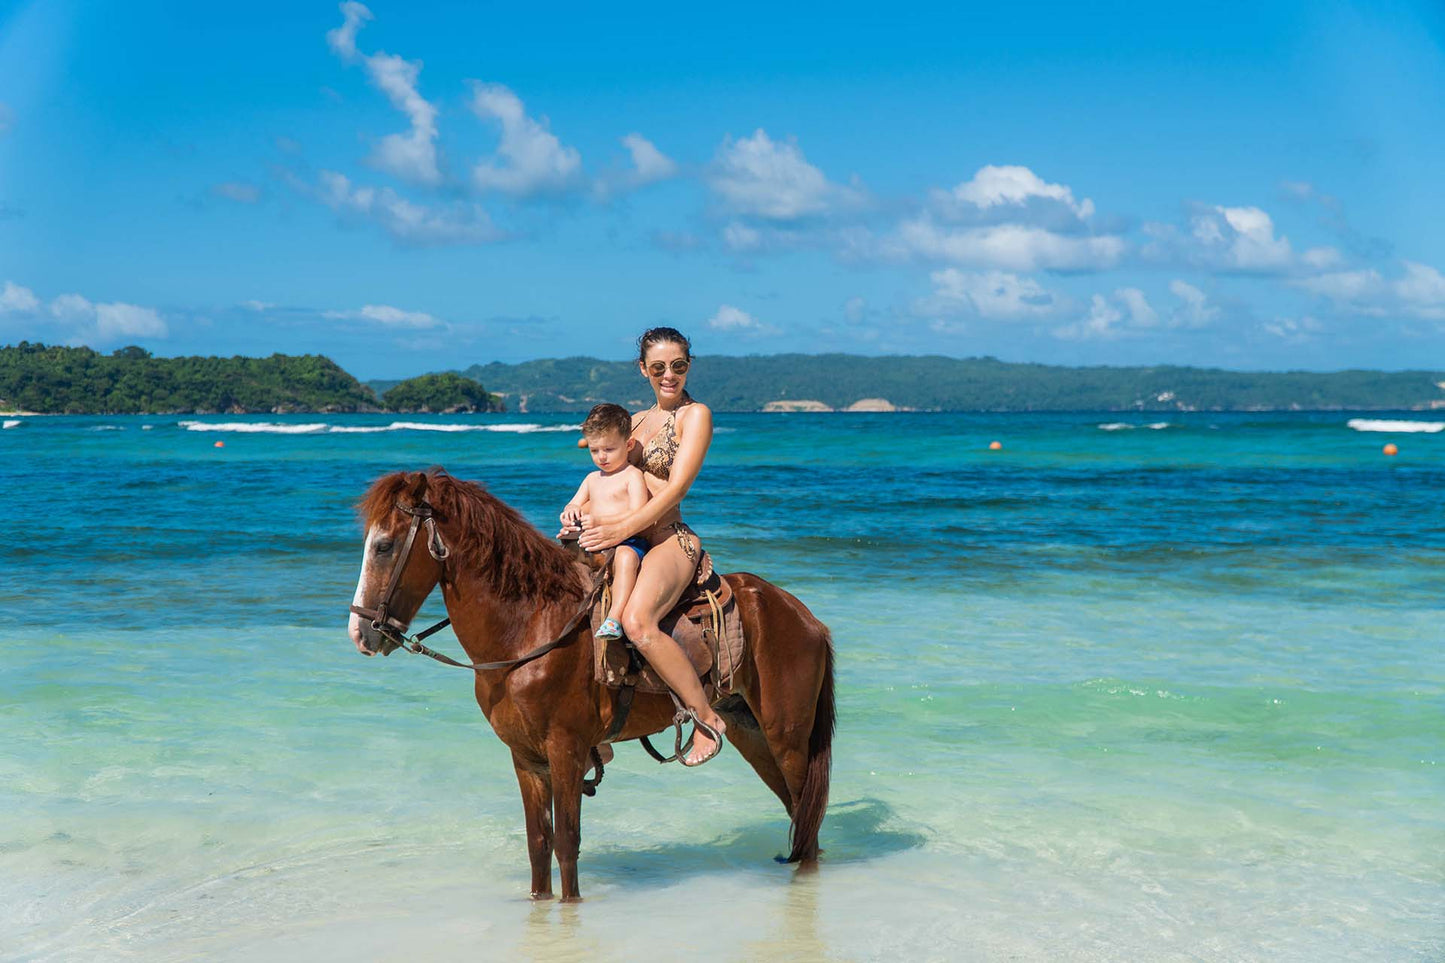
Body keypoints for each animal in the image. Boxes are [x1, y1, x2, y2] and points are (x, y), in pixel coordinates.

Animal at [346, 469, 836, 901]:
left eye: (384, 546)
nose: (360, 633)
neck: (531, 628)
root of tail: (805, 617)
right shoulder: (526, 758)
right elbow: (539, 845)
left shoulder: (566, 749)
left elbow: (566, 843)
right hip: (752, 734)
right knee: (798, 814)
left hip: (787, 739)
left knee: (807, 821)